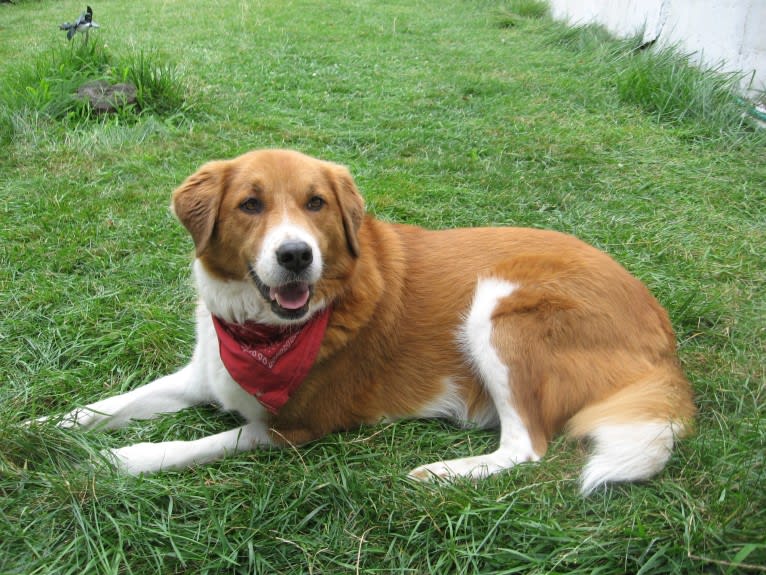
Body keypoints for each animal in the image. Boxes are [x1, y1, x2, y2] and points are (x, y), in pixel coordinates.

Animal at [45, 150, 700, 496]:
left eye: (315, 204)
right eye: (250, 205)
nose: (295, 255)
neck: (260, 330)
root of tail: (664, 338)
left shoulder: (296, 427)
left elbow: (192, 445)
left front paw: (118, 462)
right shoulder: (203, 375)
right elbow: (102, 407)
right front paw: (43, 431)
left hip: (496, 304)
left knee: (527, 448)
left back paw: (442, 472)